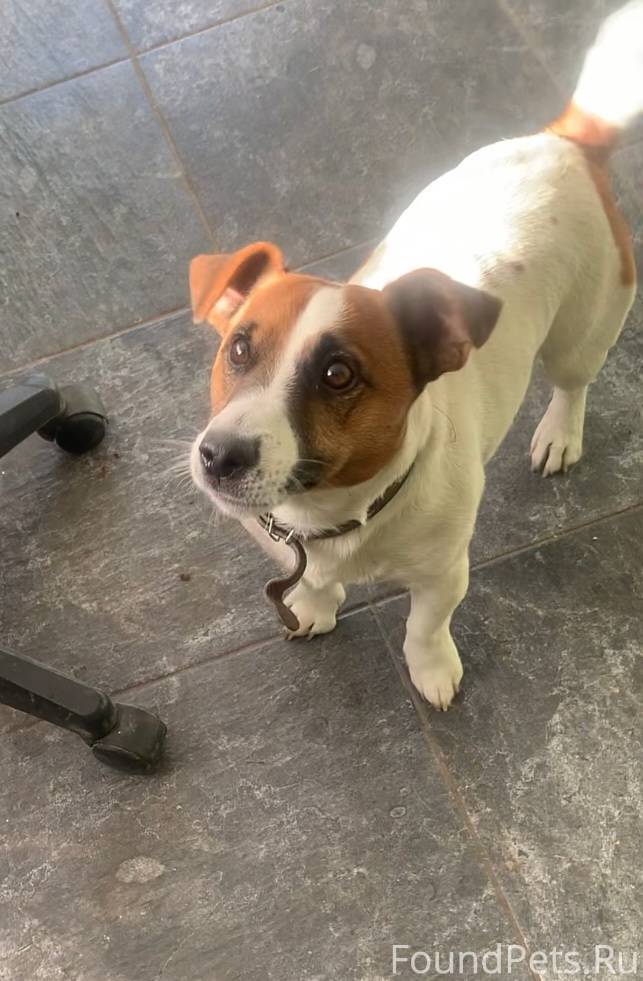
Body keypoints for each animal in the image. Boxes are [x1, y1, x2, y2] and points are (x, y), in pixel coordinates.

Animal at [190, 2, 641, 710]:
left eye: (338, 374)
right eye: (238, 347)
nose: (219, 455)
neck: (334, 516)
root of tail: (565, 144)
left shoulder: (443, 573)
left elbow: (425, 626)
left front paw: (432, 670)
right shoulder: (287, 548)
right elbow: (312, 583)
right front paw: (314, 605)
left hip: (583, 330)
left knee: (574, 383)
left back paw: (560, 433)